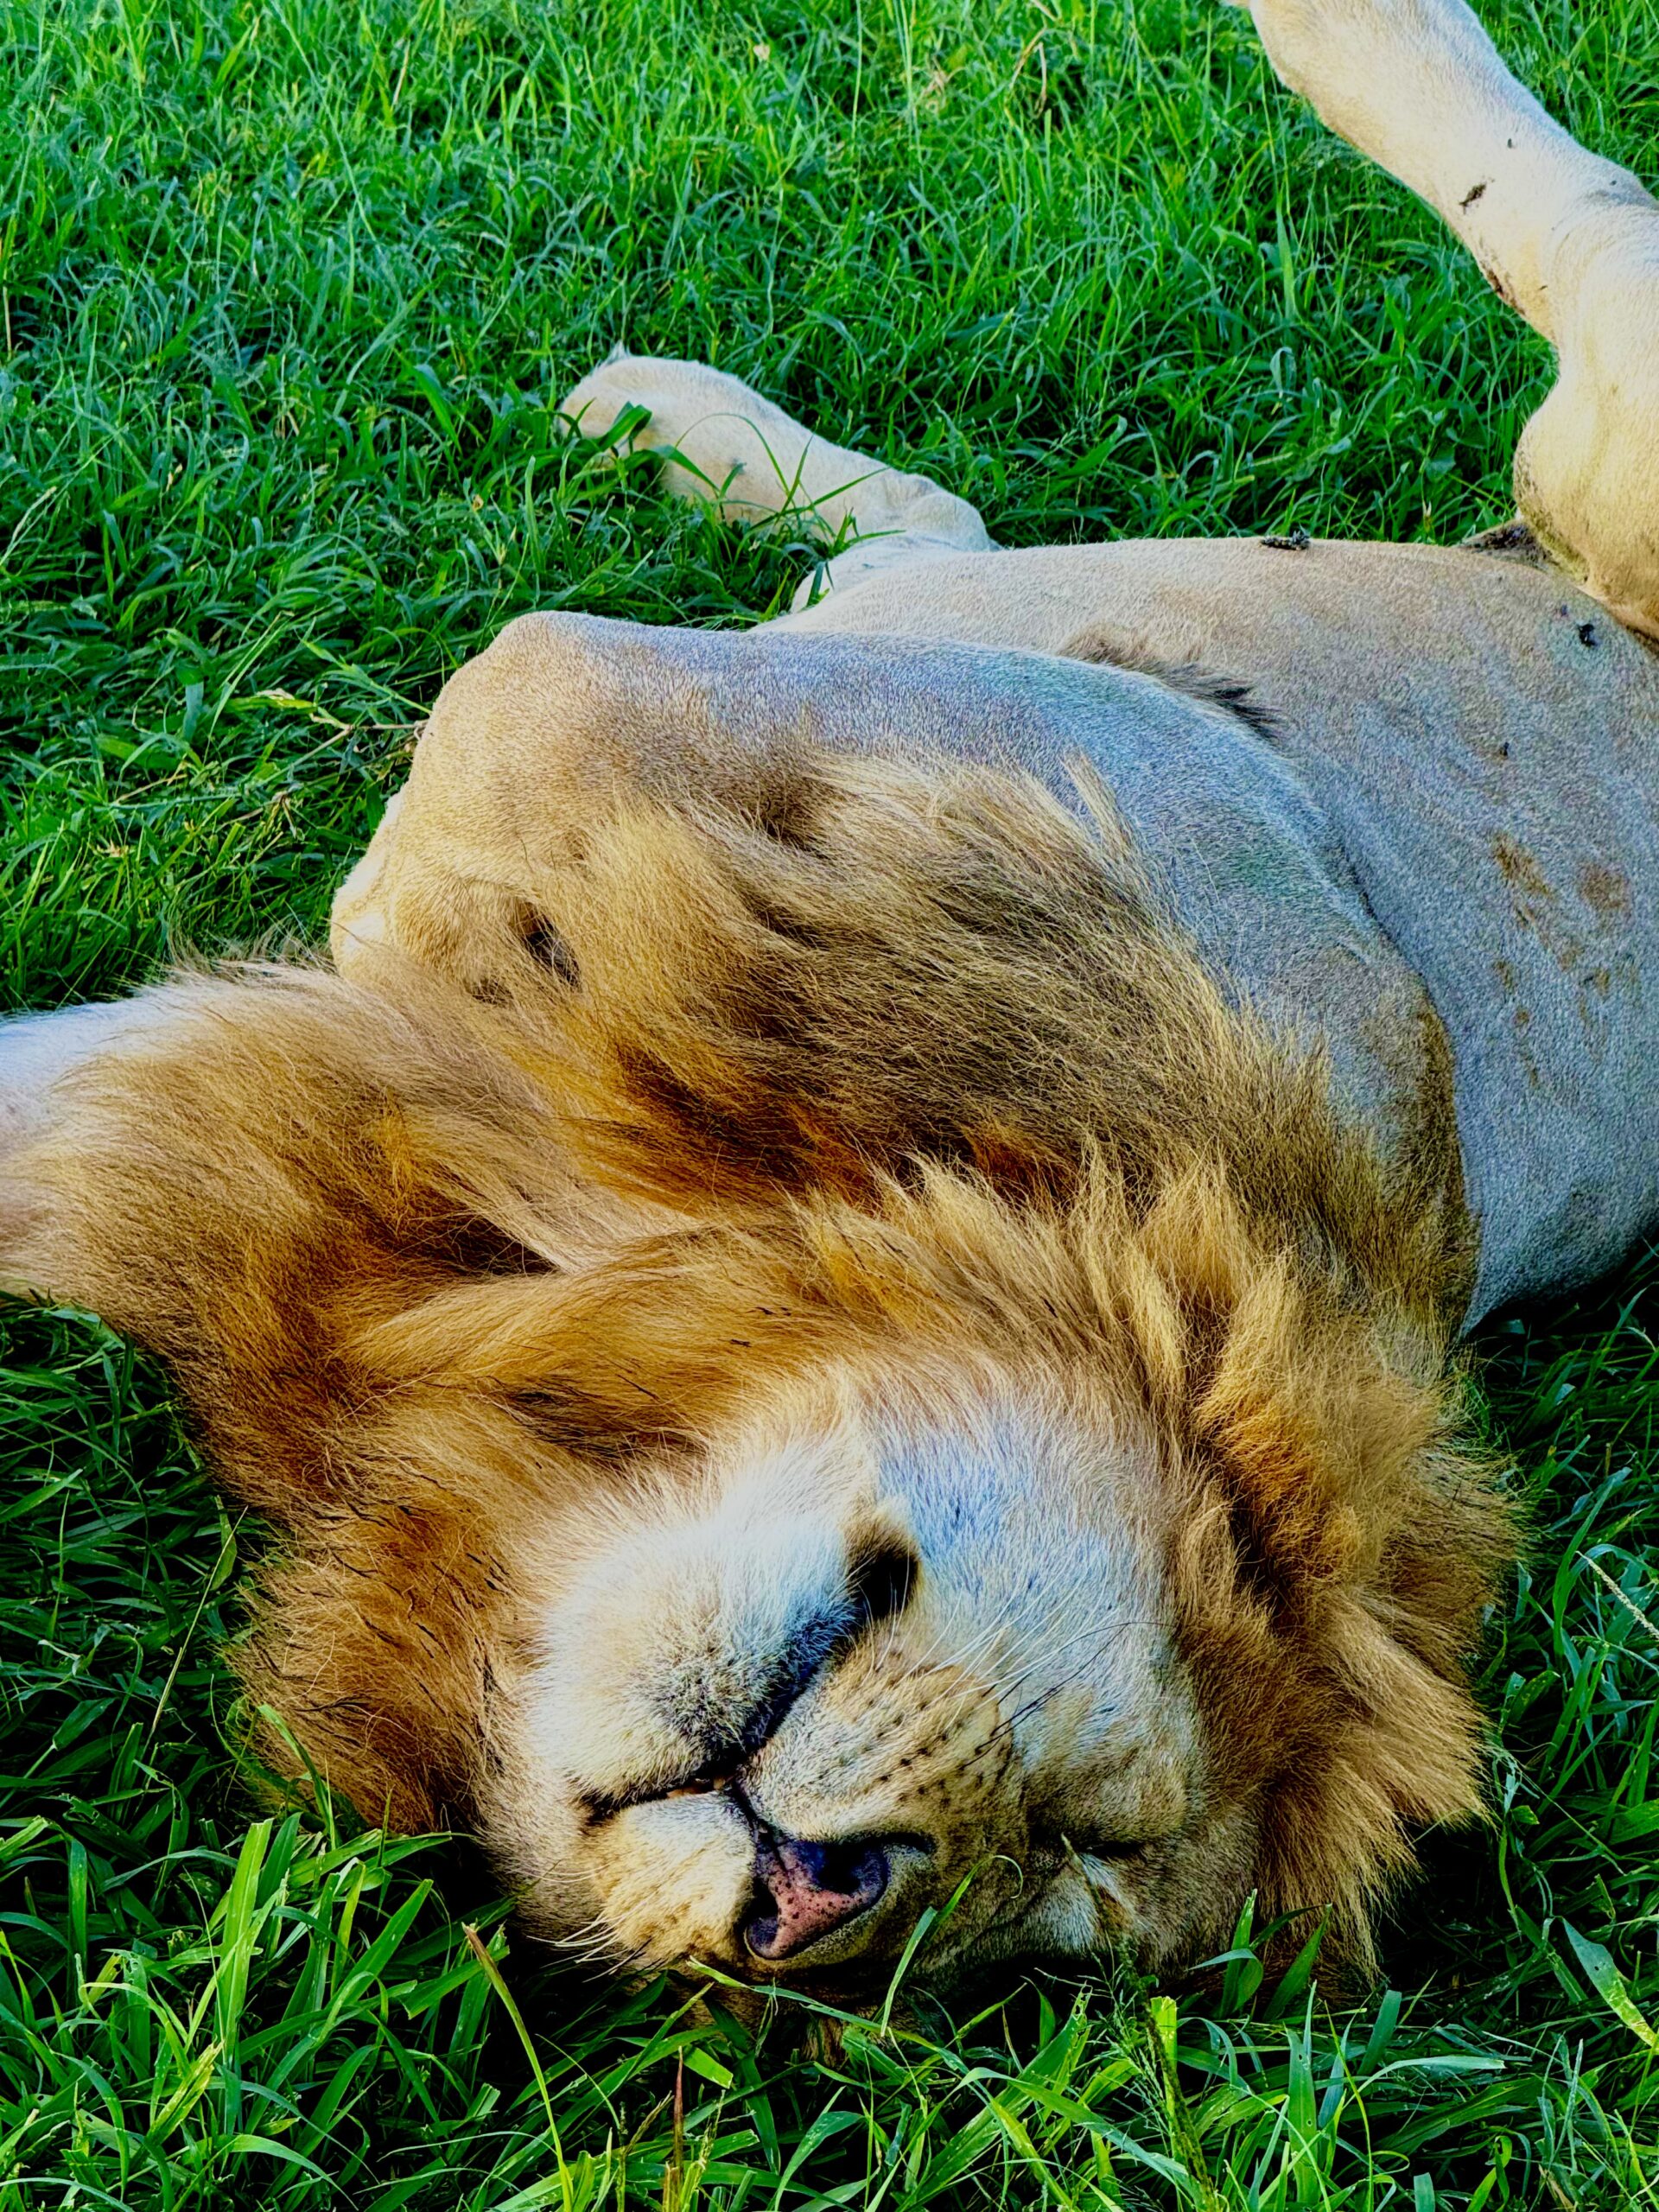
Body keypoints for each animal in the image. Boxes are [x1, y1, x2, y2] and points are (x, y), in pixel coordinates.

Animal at [0, 0, 1654, 2008]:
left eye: (1064, 1877)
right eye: (1097, 1818)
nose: (816, 1900)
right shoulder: (1212, 811)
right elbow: (509, 751)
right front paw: (439, 939)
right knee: (1574, 218)